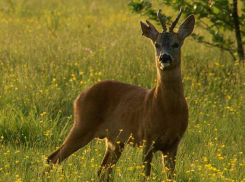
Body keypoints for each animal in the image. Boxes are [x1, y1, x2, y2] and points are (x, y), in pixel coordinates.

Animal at [46, 8, 195, 181]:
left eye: (176, 44)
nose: (164, 57)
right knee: (52, 158)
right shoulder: (147, 138)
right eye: (157, 44)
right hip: (82, 125)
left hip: (114, 140)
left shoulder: (173, 143)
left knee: (103, 171)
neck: (168, 110)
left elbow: (171, 176)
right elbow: (145, 176)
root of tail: (79, 97)